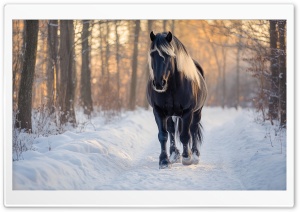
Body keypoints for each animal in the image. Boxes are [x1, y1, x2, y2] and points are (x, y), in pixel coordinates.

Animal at [146, 31, 207, 169]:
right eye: (152, 54)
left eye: (168, 55)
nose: (159, 83)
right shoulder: (158, 111)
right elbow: (163, 135)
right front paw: (164, 161)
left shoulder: (188, 111)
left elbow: (185, 135)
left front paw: (187, 158)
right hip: (170, 114)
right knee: (172, 131)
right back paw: (174, 155)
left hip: (197, 111)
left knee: (193, 130)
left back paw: (194, 155)